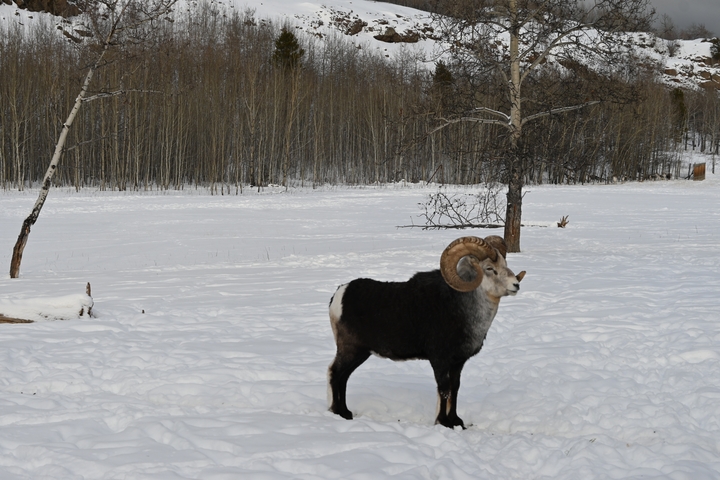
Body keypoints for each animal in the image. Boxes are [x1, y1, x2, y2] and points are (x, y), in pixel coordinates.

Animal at [327, 235, 526, 429]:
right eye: (490, 268)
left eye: (505, 264)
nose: (515, 285)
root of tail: (338, 296)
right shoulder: (439, 360)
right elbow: (444, 389)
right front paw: (443, 423)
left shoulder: (458, 363)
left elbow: (455, 388)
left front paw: (456, 421)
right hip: (351, 350)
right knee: (336, 374)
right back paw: (340, 413)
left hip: (361, 354)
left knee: (343, 377)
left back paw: (345, 412)